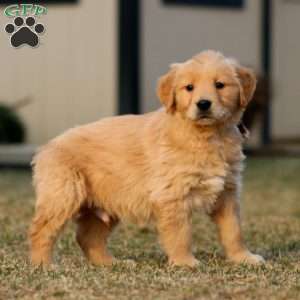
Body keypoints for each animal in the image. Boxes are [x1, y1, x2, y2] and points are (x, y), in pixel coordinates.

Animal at [29, 49, 264, 268]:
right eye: (189, 87)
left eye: (220, 85)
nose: (203, 104)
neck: (206, 136)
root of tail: (47, 147)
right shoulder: (172, 195)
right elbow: (181, 234)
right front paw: (184, 262)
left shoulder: (227, 193)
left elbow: (233, 231)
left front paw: (243, 257)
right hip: (63, 195)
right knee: (41, 231)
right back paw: (44, 265)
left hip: (106, 203)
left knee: (88, 237)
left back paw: (111, 263)